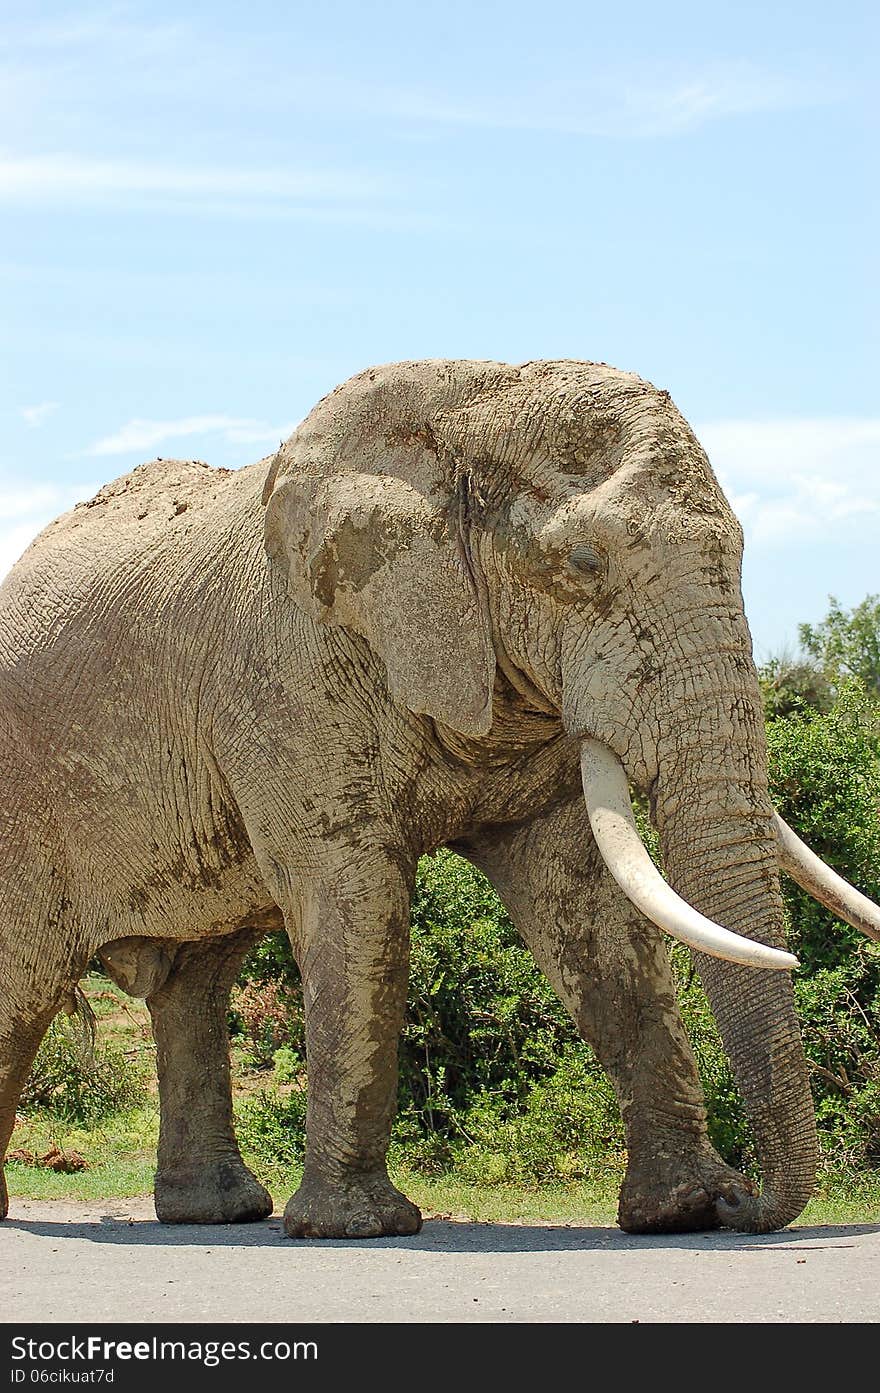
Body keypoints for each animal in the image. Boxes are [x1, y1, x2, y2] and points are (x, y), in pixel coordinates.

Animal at [1, 359, 880, 1242]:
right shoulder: (287, 674)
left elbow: (590, 911)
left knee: (197, 980)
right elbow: (359, 902)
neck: (468, 408)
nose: (744, 1202)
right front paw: (357, 1228)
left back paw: (215, 1211)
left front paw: (681, 1209)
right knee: (27, 981)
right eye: (586, 562)